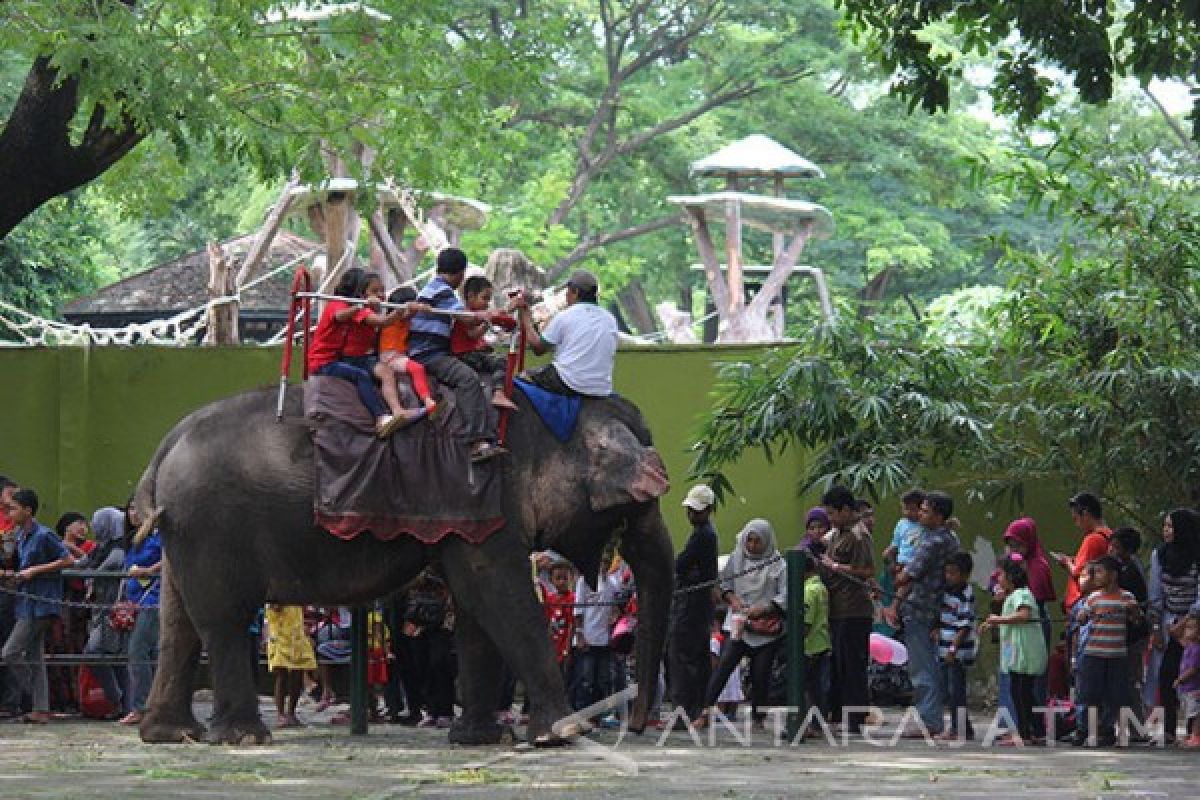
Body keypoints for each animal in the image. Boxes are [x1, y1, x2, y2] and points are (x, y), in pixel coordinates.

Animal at [133, 381, 676, 743]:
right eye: (642, 505)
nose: (637, 727)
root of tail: (165, 446)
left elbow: (475, 605)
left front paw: (476, 739)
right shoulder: (485, 494)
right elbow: (494, 590)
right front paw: (560, 735)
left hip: (186, 531)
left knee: (179, 620)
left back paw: (170, 734)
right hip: (212, 524)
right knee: (222, 620)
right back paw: (243, 737)